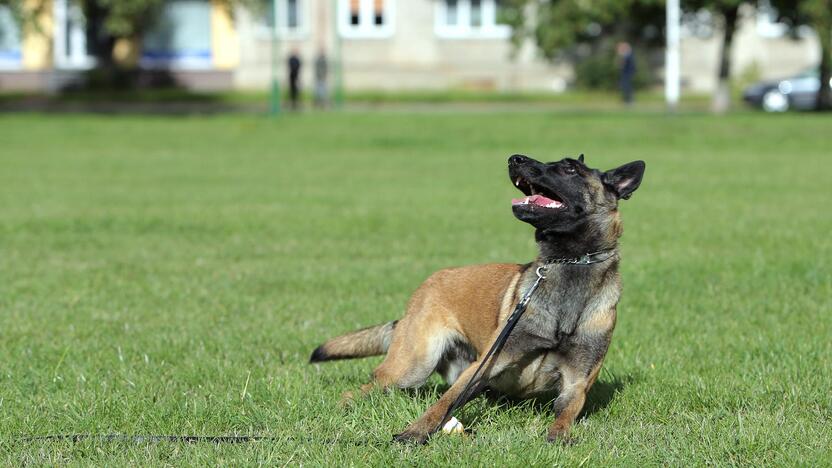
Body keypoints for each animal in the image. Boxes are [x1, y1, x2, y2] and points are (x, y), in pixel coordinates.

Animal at [308, 154, 648, 442]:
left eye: (569, 168)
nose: (515, 158)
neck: (571, 263)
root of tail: (424, 288)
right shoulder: (482, 367)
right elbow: (441, 404)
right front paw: (414, 433)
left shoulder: (576, 384)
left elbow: (565, 416)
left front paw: (559, 436)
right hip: (413, 365)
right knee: (365, 389)